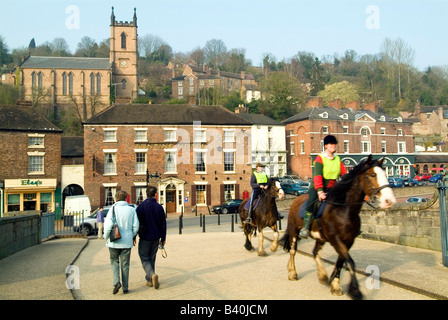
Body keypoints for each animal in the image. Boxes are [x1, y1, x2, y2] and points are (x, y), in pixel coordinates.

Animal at [278, 155, 398, 300]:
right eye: (372, 174)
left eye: (385, 174)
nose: (389, 201)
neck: (343, 209)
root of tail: (297, 199)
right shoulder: (336, 239)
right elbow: (350, 262)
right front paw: (355, 291)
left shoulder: (348, 240)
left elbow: (341, 262)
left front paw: (334, 285)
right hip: (294, 232)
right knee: (292, 251)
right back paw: (292, 273)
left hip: (320, 238)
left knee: (315, 252)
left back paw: (322, 276)